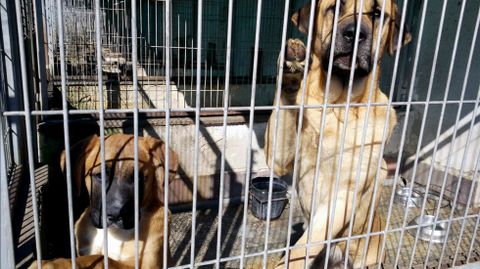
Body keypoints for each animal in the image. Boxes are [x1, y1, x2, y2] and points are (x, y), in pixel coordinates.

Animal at [30, 134, 180, 268]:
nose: (115, 215)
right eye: (100, 175)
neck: (112, 233)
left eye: (138, 178)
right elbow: (97, 257)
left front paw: (55, 263)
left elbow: (102, 258)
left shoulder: (146, 265)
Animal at [264, 0, 410, 266]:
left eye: (377, 14)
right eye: (336, 7)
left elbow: (303, 248)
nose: (355, 33)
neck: (337, 104)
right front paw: (292, 68)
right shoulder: (279, 159)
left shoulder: (343, 195)